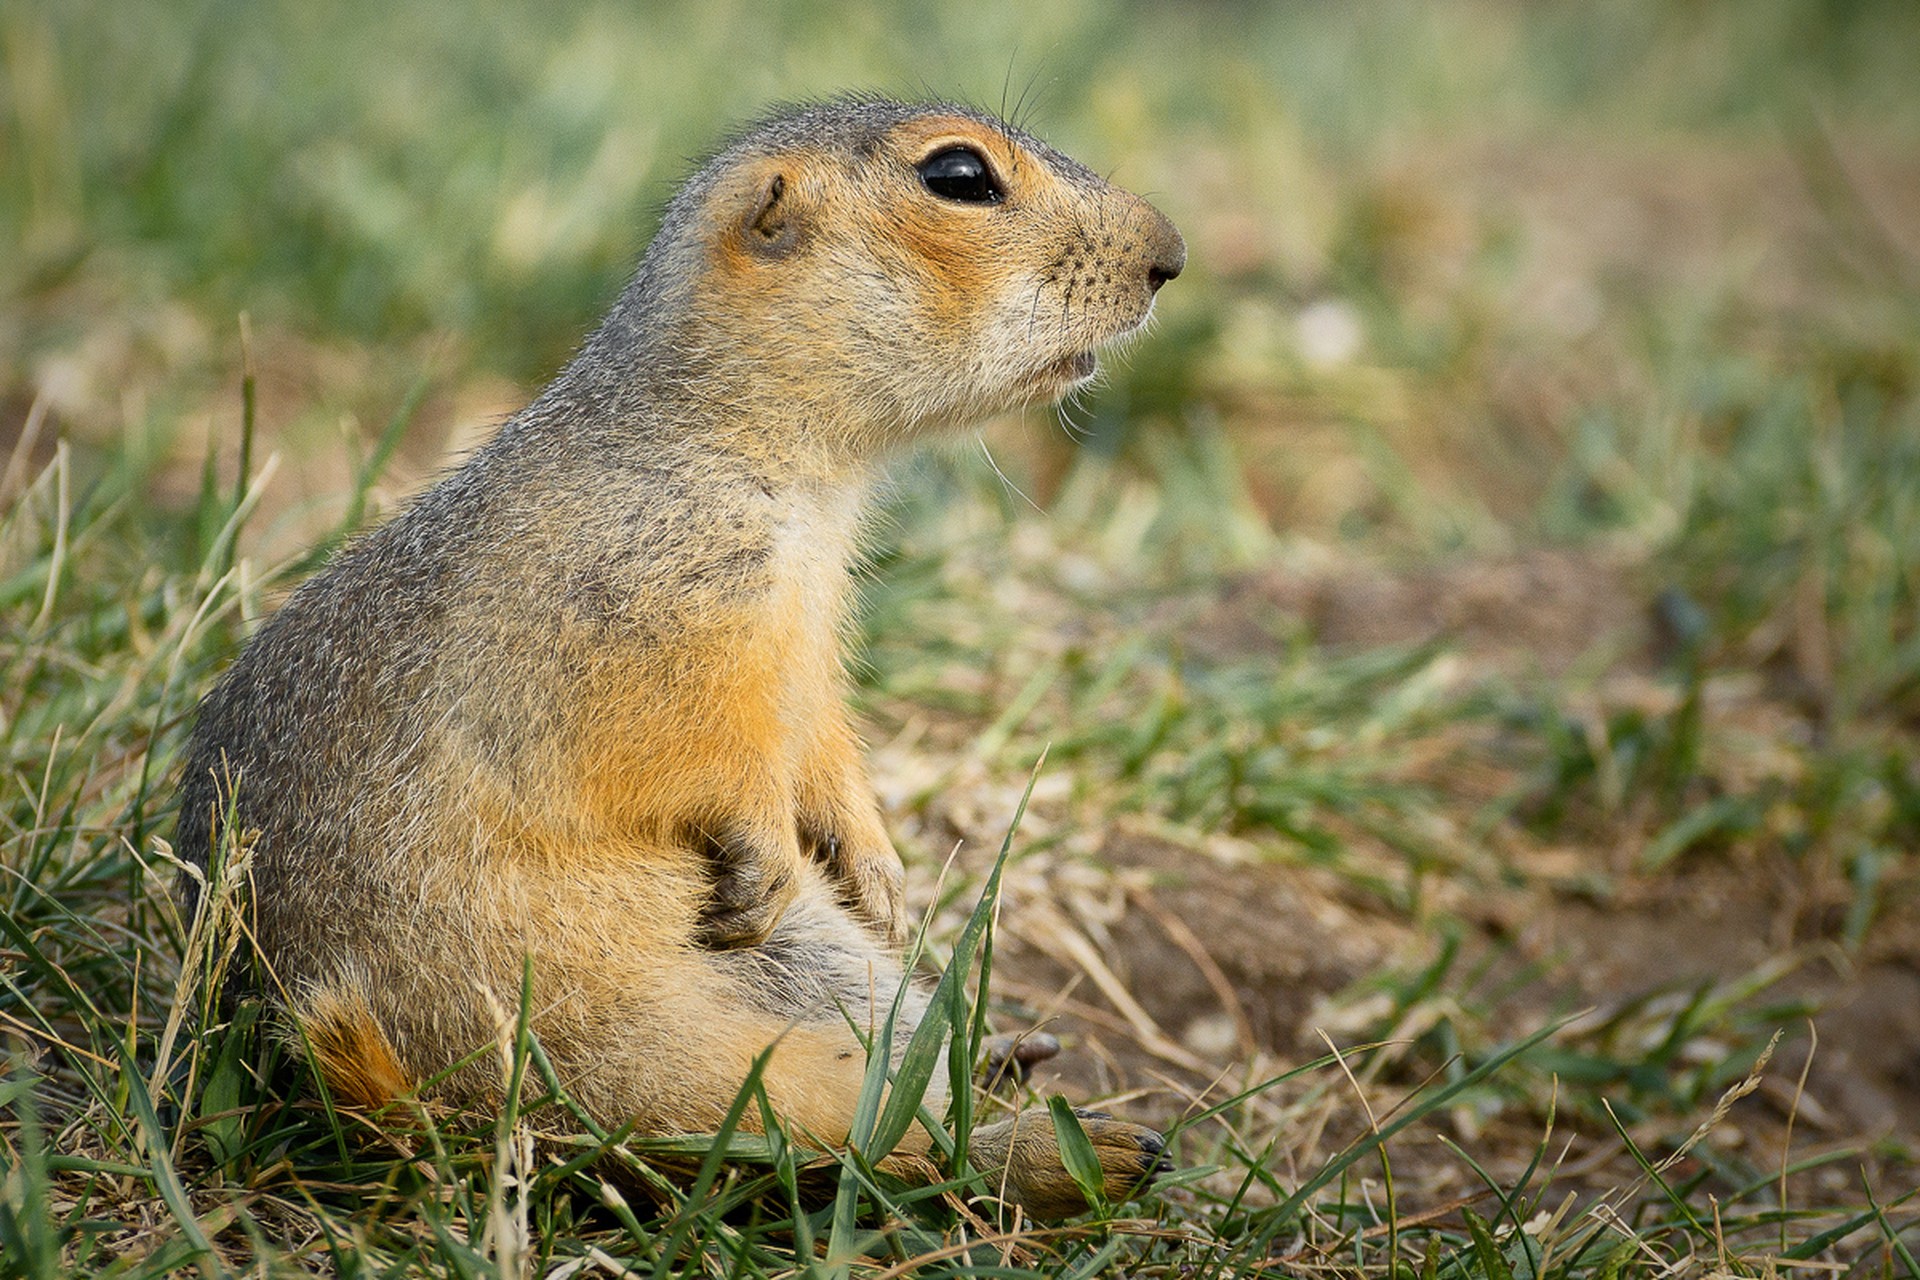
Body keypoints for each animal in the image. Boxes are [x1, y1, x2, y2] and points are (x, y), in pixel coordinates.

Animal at [183, 94, 1198, 1220]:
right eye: (961, 176)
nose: (1172, 254)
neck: (776, 467)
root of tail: (434, 1105)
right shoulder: (647, 607)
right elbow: (689, 746)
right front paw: (771, 843)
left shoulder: (808, 634)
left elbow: (821, 733)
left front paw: (880, 866)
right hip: (658, 1050)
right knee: (863, 1145)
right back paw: (1063, 1150)